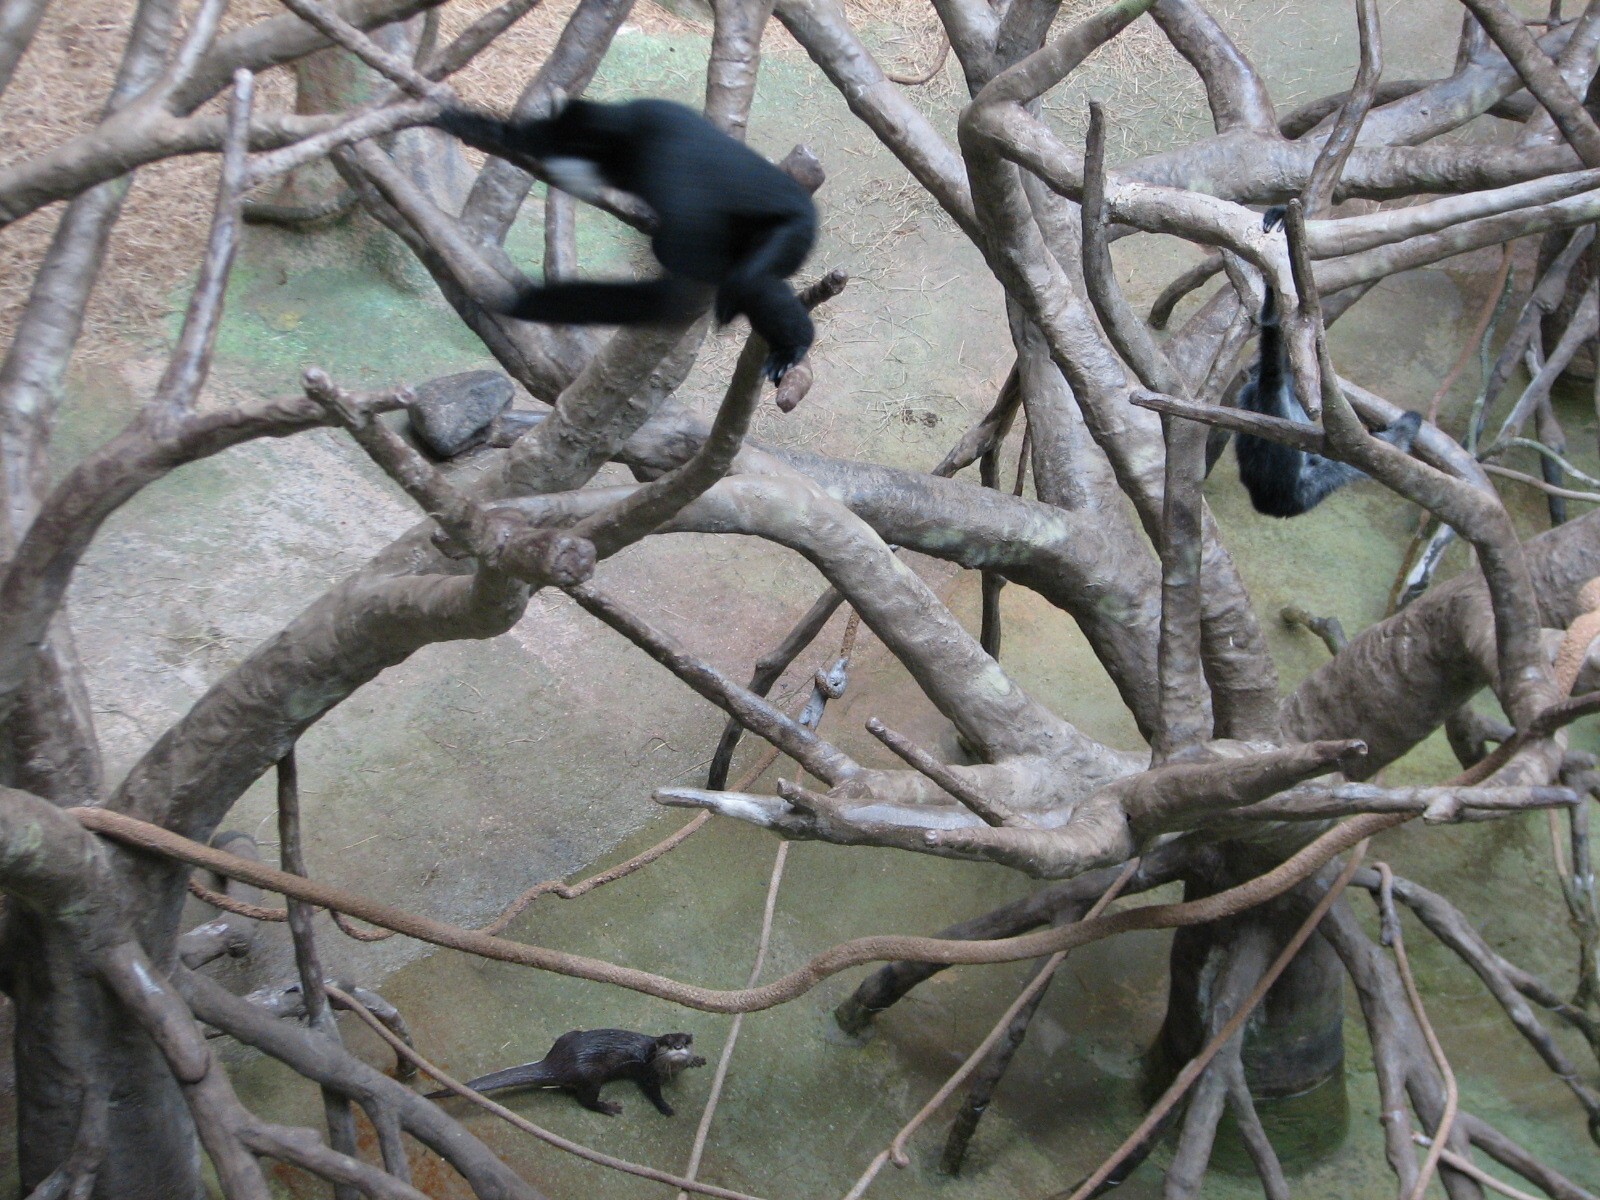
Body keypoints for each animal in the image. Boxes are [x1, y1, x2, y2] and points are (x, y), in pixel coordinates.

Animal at [428, 1029, 707, 1116]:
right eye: (667, 1043)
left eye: (685, 1041)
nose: (679, 1047)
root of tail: (555, 1062)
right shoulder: (647, 1073)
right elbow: (653, 1092)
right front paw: (666, 1107)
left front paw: (696, 1060)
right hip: (591, 1076)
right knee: (586, 1100)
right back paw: (609, 1107)